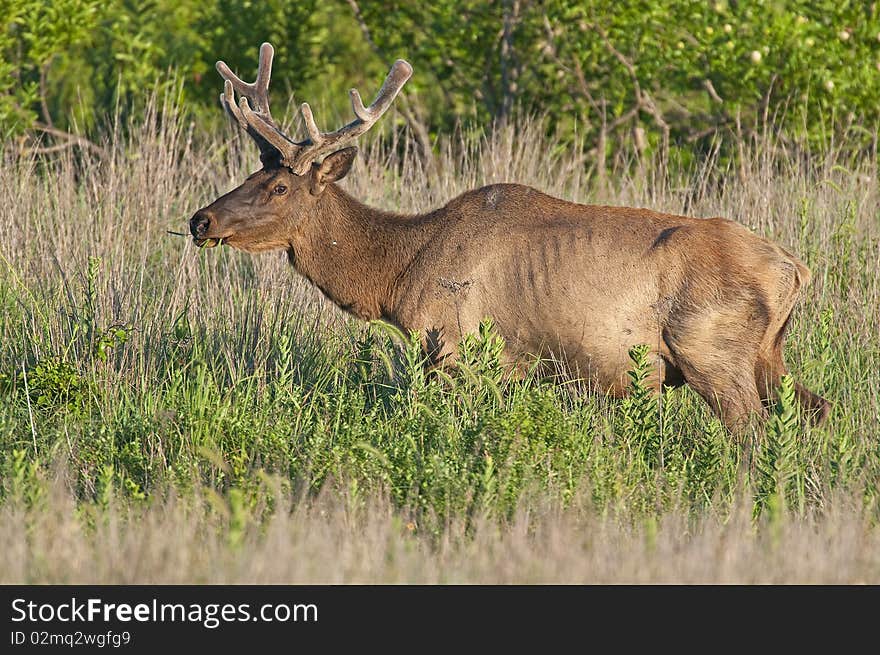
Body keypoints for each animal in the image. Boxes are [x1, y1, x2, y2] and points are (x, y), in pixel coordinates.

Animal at [191, 41, 832, 430]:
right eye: (253, 173)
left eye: (280, 188)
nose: (201, 221)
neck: (397, 274)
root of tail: (795, 268)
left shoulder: (454, 345)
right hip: (767, 354)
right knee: (817, 408)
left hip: (710, 349)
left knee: (751, 431)